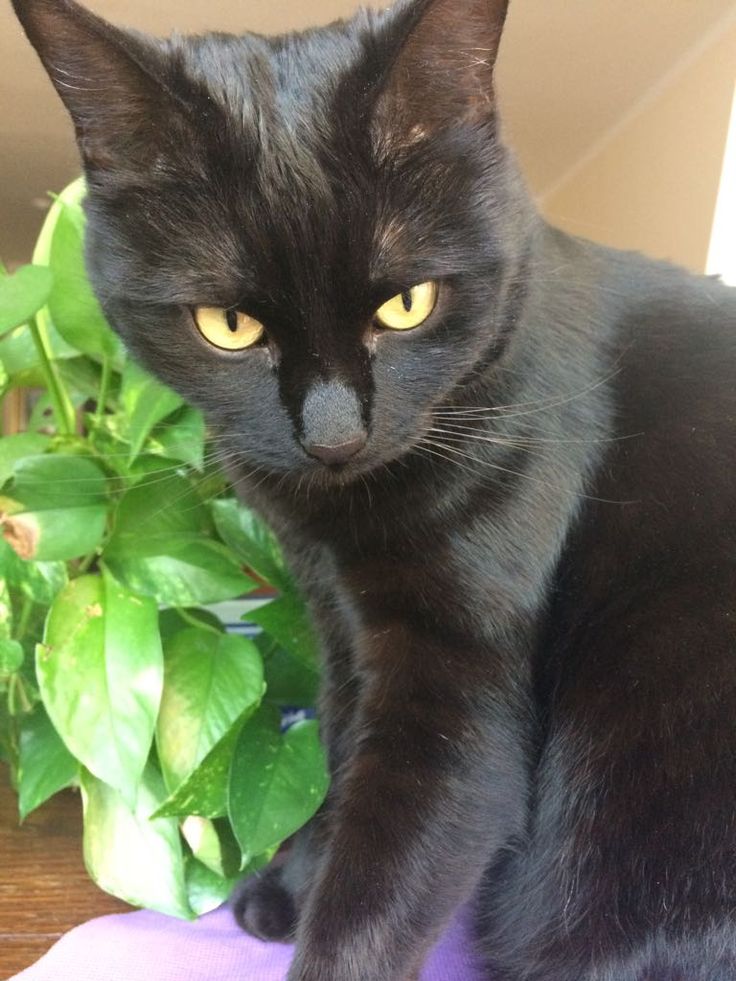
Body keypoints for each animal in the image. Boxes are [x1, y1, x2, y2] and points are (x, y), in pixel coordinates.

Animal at [11, 0, 736, 976]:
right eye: (228, 325)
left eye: (407, 305)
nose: (334, 436)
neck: (334, 524)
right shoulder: (341, 618)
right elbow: (341, 741)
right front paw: (293, 879)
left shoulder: (455, 673)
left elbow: (381, 882)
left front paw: (317, 909)